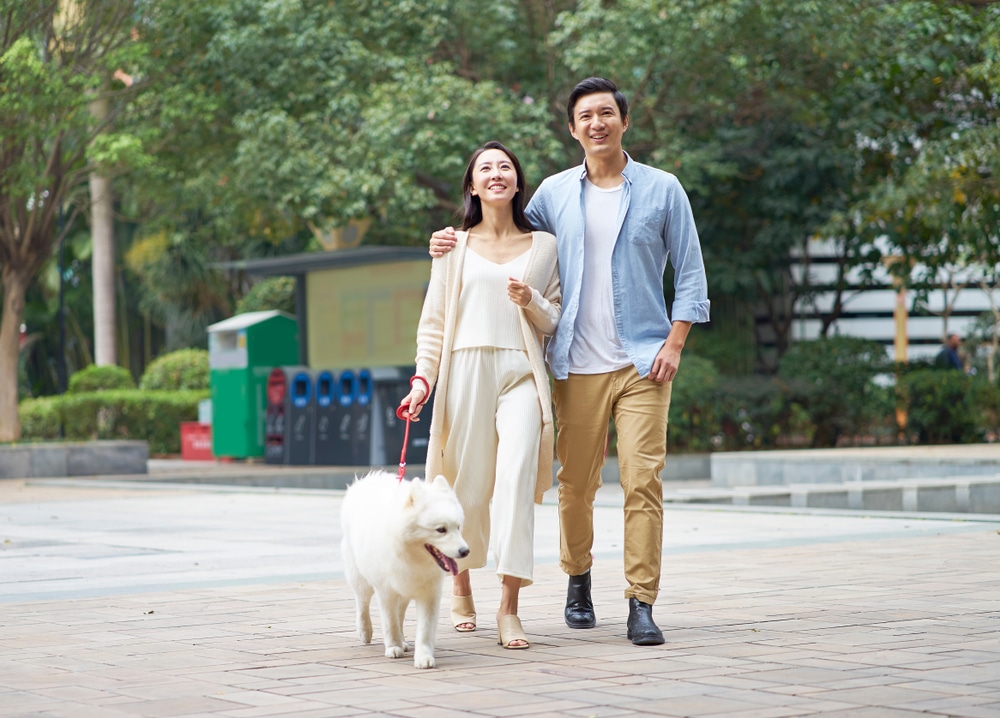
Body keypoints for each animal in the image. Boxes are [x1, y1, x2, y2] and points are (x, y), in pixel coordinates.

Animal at [340, 472, 468, 668]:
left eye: (458, 527)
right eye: (441, 530)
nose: (465, 551)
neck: (411, 557)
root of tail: (368, 479)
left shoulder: (428, 594)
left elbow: (424, 629)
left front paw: (423, 656)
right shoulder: (385, 591)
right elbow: (390, 622)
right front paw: (393, 647)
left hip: (404, 591)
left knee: (399, 613)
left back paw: (403, 641)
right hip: (361, 579)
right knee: (362, 604)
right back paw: (365, 631)